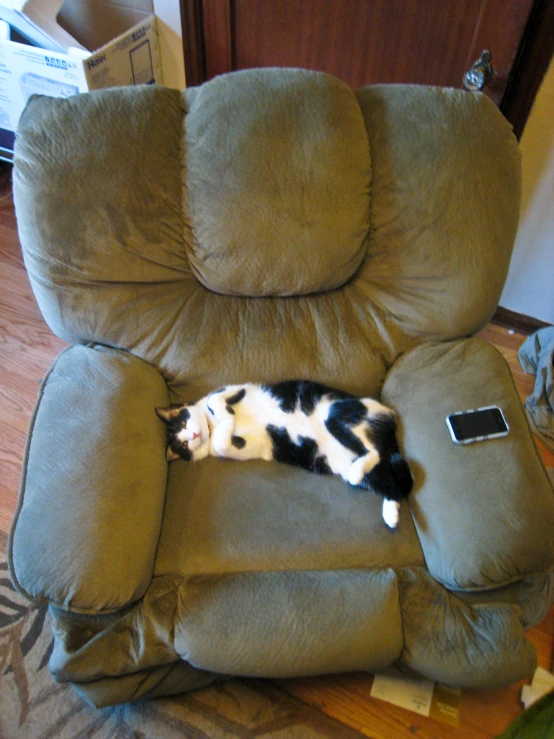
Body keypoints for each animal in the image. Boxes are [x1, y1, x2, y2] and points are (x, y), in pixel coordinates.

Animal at [154, 382, 410, 528]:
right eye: (183, 445)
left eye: (184, 422)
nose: (194, 435)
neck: (212, 425)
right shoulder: (245, 447)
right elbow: (223, 442)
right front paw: (228, 424)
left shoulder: (232, 388)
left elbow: (215, 398)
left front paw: (226, 411)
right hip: (346, 464)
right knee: (390, 480)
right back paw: (390, 515)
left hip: (335, 412)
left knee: (374, 452)